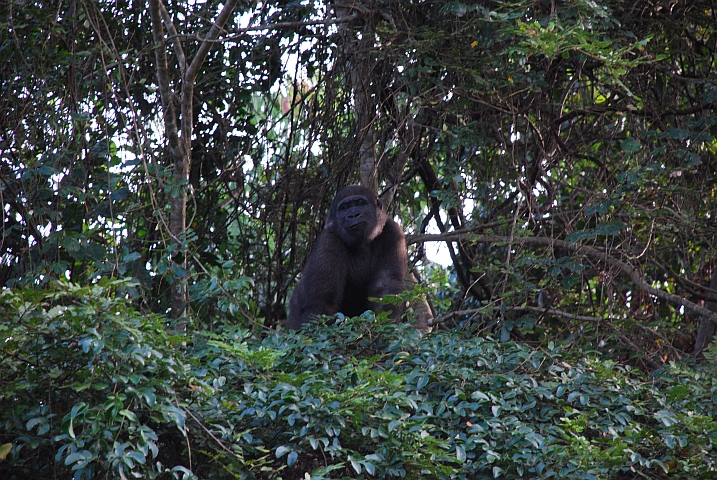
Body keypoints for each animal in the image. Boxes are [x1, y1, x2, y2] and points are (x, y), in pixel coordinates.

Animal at [286, 186, 408, 328]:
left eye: (360, 203)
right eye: (344, 208)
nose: (353, 215)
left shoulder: (393, 231)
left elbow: (385, 288)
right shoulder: (329, 238)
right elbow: (323, 300)